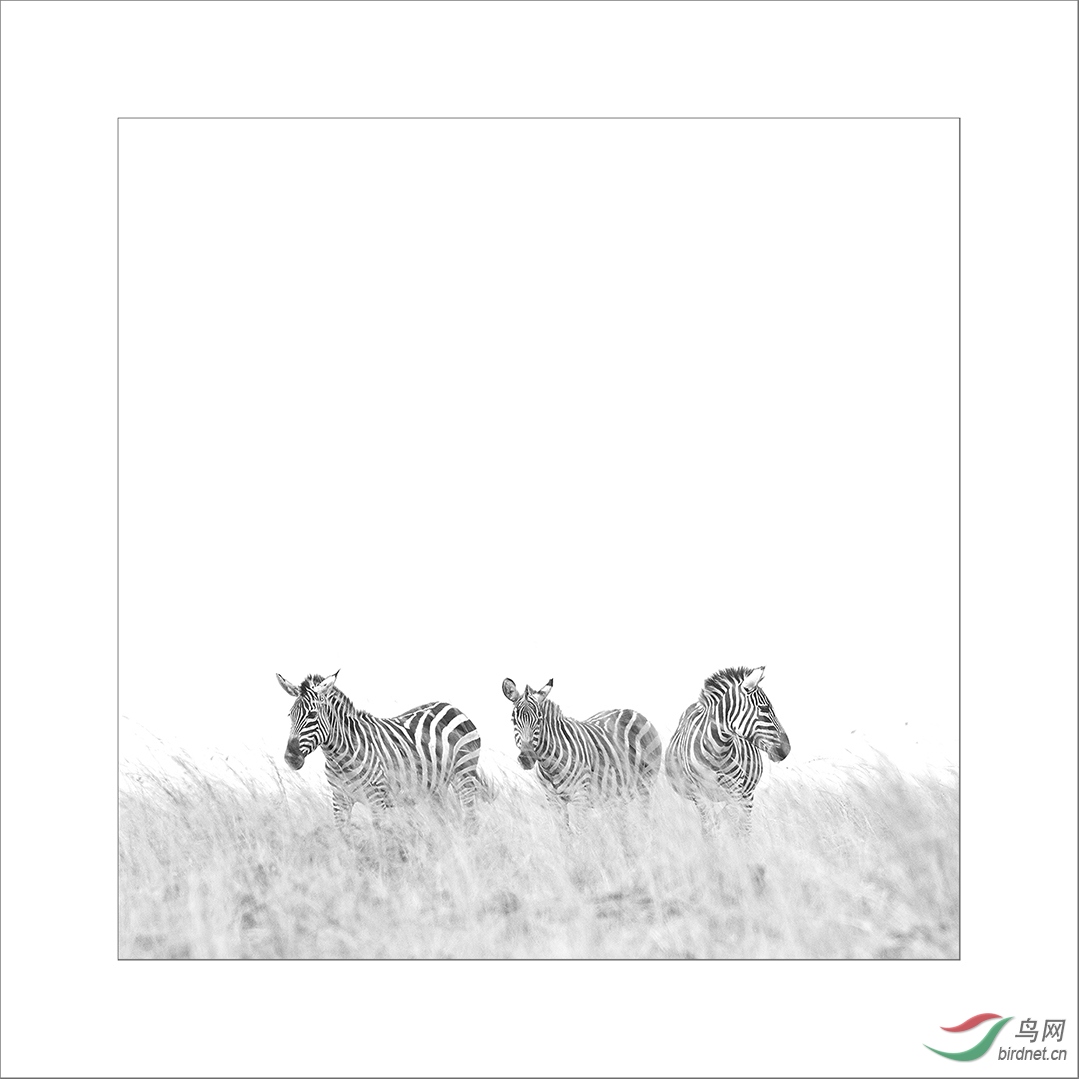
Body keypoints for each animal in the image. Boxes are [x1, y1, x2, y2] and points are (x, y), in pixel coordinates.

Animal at [276, 670, 481, 823]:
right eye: (290, 715)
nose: (291, 757)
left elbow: (382, 840)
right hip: (435, 787)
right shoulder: (339, 799)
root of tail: (451, 706)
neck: (338, 758)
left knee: (470, 818)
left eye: (312, 715)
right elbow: (345, 838)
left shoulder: (376, 798)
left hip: (463, 774)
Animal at [501, 677, 662, 823]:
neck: (549, 766)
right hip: (620, 790)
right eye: (513, 720)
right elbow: (564, 834)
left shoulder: (580, 796)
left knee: (645, 816)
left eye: (540, 720)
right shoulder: (553, 800)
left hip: (646, 782)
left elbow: (579, 832)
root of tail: (633, 711)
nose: (526, 759)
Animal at [664, 665, 790, 832]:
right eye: (764, 708)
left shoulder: (734, 791)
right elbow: (711, 831)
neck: (716, 752)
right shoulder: (699, 793)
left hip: (746, 795)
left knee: (744, 825)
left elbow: (736, 828)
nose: (787, 749)